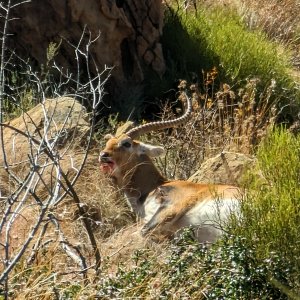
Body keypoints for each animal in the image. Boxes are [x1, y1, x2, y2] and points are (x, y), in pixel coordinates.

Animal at [99, 95, 240, 243]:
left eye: (127, 143)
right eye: (108, 143)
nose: (103, 155)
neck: (154, 186)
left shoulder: (172, 207)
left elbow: (140, 232)